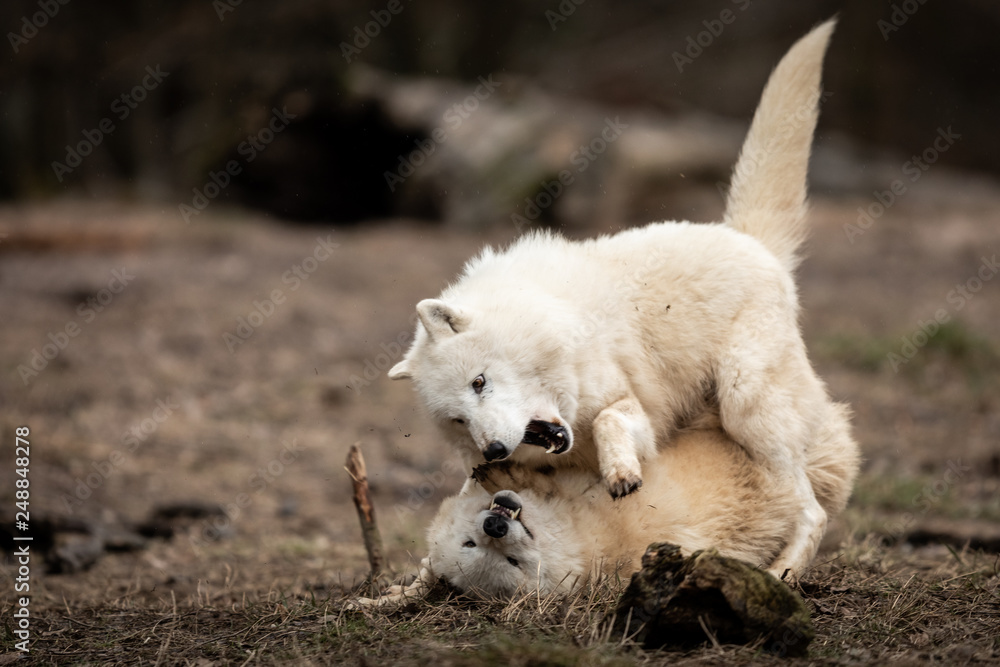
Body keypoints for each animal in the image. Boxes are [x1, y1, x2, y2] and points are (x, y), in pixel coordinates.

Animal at [389, 19, 858, 578]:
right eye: (458, 421)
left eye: (479, 382)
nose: (497, 449)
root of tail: (747, 239)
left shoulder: (632, 408)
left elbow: (611, 419)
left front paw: (621, 472)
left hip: (747, 405)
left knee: (811, 509)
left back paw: (779, 574)